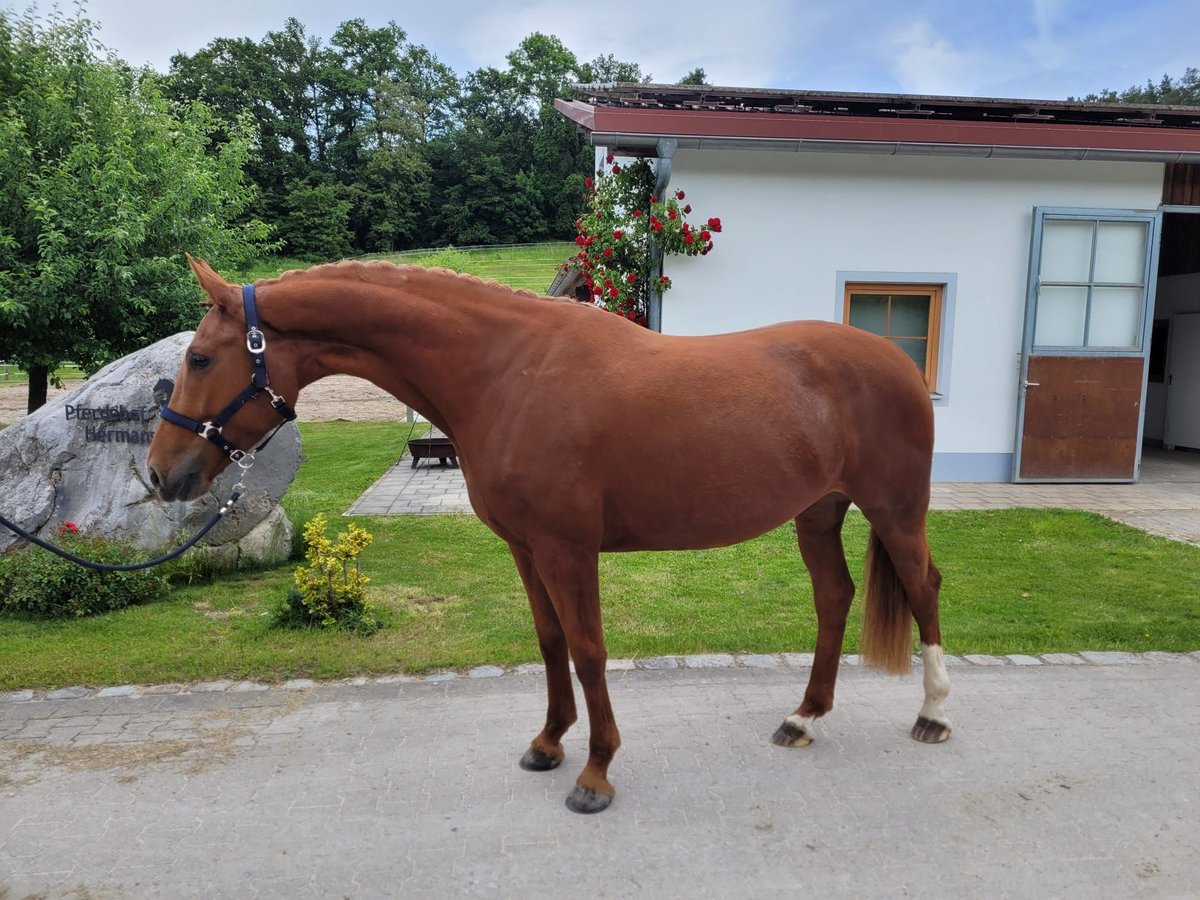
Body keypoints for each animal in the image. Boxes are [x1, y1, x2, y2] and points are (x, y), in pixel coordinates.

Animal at [150, 255, 950, 816]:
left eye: (199, 358)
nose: (161, 474)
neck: (510, 372)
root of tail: (898, 362)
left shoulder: (568, 549)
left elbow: (590, 650)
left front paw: (596, 772)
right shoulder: (526, 547)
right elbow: (550, 641)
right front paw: (547, 743)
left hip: (894, 510)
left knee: (923, 589)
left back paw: (933, 714)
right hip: (819, 512)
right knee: (835, 597)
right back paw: (802, 717)